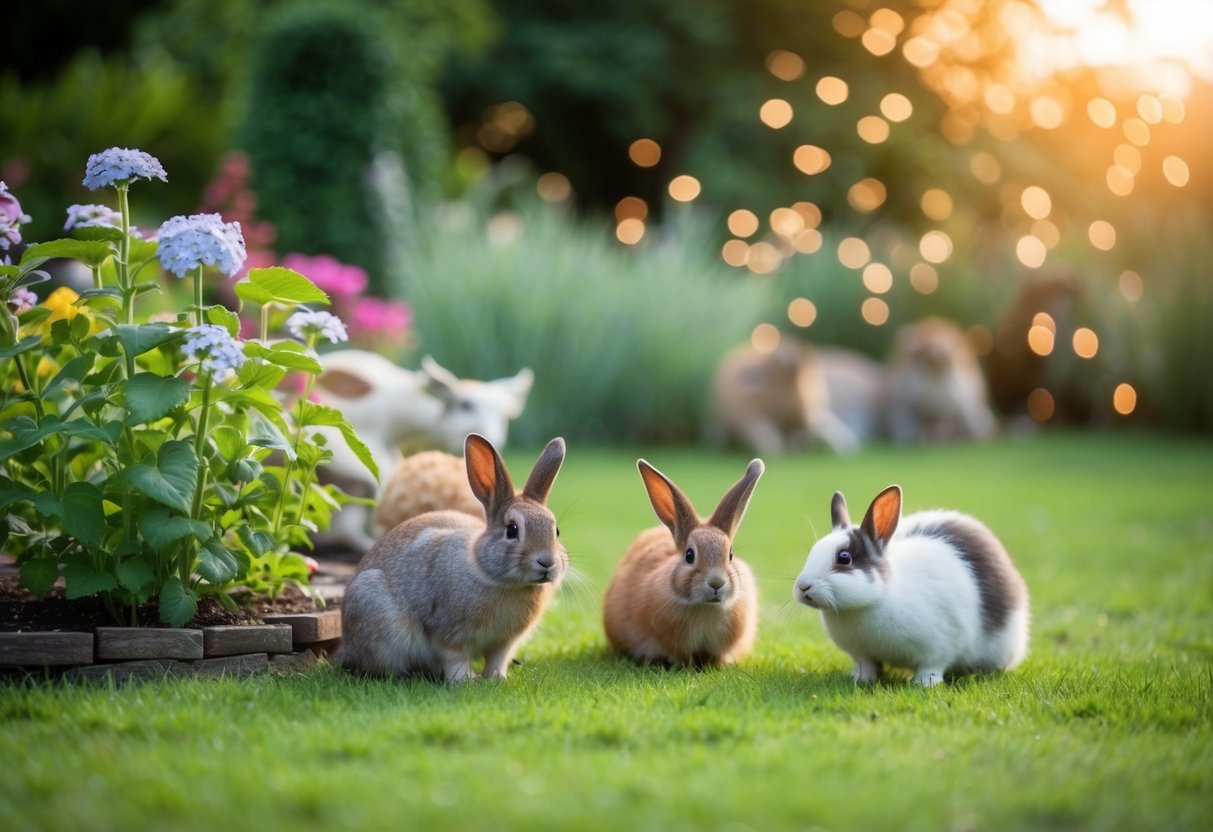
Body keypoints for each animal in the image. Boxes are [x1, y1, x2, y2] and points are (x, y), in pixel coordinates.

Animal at [337, 434, 567, 679]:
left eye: (556, 531)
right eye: (512, 530)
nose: (547, 562)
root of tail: (347, 645)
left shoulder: (503, 642)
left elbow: (497, 658)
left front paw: (496, 677)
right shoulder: (447, 633)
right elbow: (455, 658)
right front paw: (467, 680)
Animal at [604, 458, 761, 669]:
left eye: (730, 555)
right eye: (689, 555)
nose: (717, 583)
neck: (705, 608)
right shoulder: (674, 644)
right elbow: (682, 657)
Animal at [800, 485, 1028, 688]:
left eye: (844, 557)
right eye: (812, 551)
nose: (803, 587)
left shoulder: (940, 646)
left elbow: (932, 666)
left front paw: (924, 684)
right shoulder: (861, 653)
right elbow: (866, 666)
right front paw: (861, 679)